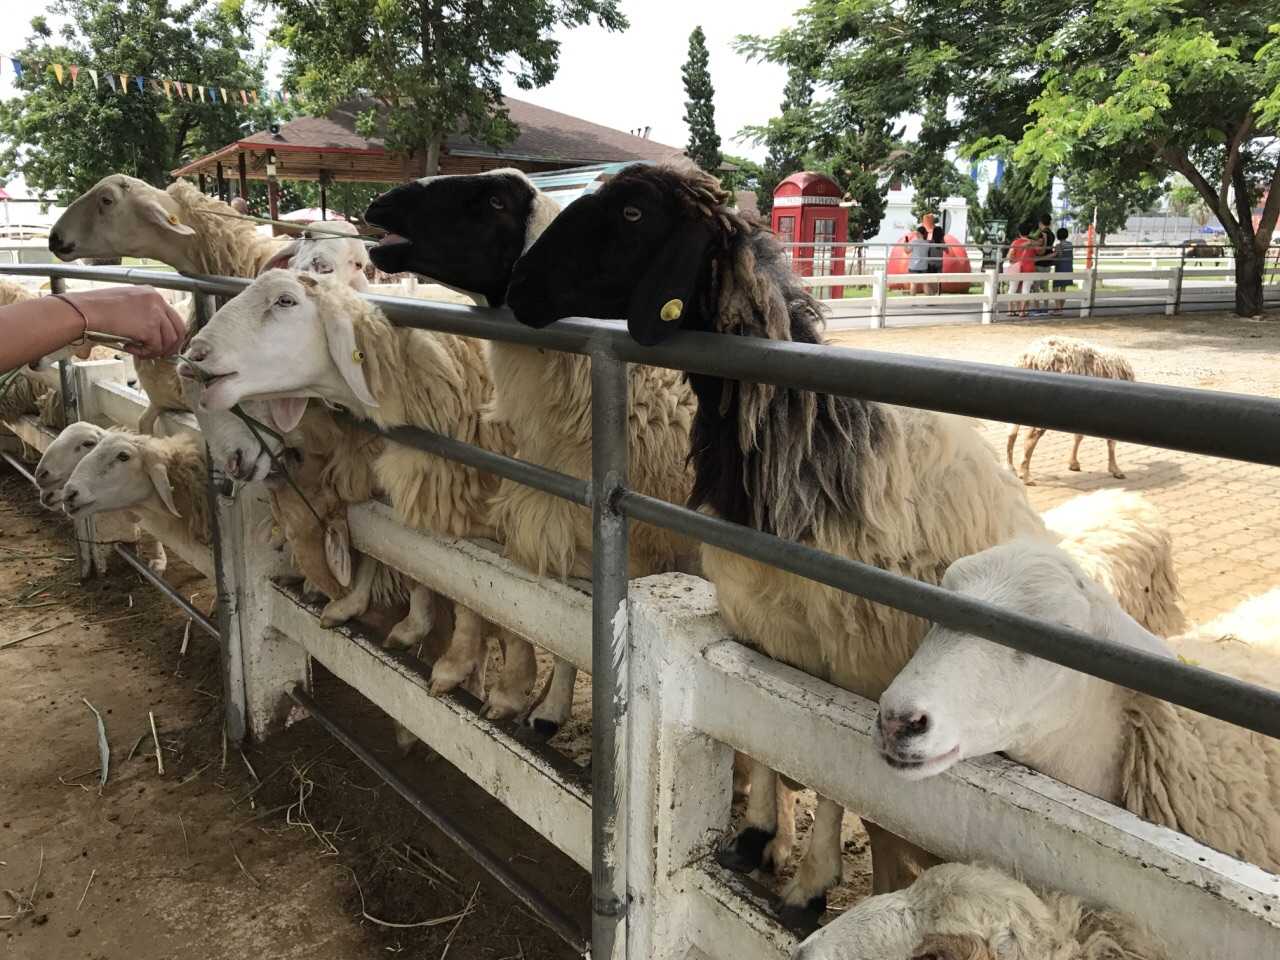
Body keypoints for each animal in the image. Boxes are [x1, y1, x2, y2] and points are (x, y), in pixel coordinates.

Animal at [186, 271, 514, 716]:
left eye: (286, 300)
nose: (195, 354)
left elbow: (469, 590)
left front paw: (456, 665)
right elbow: (405, 561)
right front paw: (382, 615)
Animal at [1003, 337, 1136, 488]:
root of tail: (1029, 358)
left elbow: (1078, 436)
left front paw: (1073, 463)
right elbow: (1111, 441)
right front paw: (1115, 469)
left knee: (1011, 433)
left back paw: (1011, 468)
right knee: (1030, 438)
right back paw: (1025, 475)